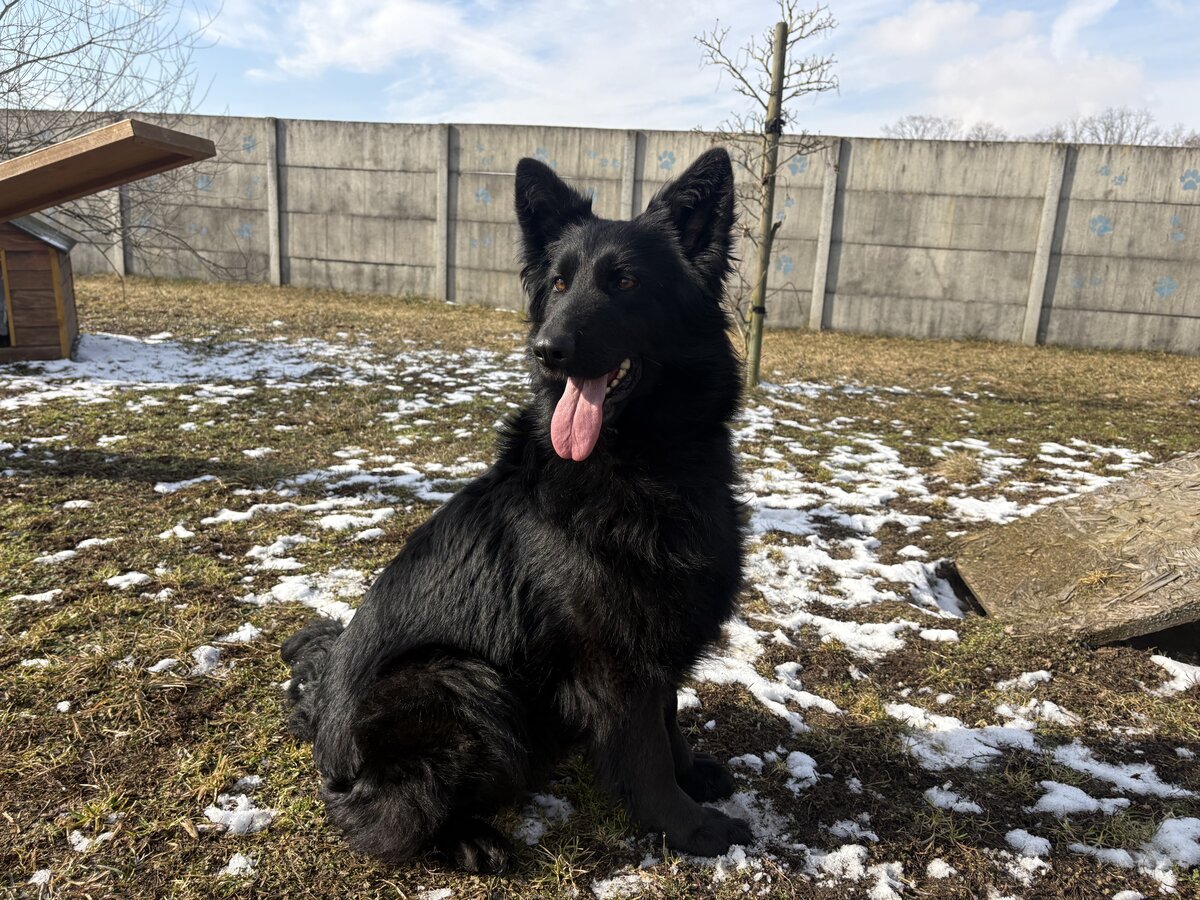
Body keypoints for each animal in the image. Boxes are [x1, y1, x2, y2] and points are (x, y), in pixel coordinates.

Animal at [281, 146, 750, 872]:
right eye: (557, 285)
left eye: (625, 283)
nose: (547, 351)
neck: (644, 462)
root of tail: (323, 724)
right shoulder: (615, 659)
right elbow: (646, 752)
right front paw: (689, 827)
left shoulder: (654, 634)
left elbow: (670, 715)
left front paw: (693, 772)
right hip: (461, 681)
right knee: (375, 817)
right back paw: (468, 839)